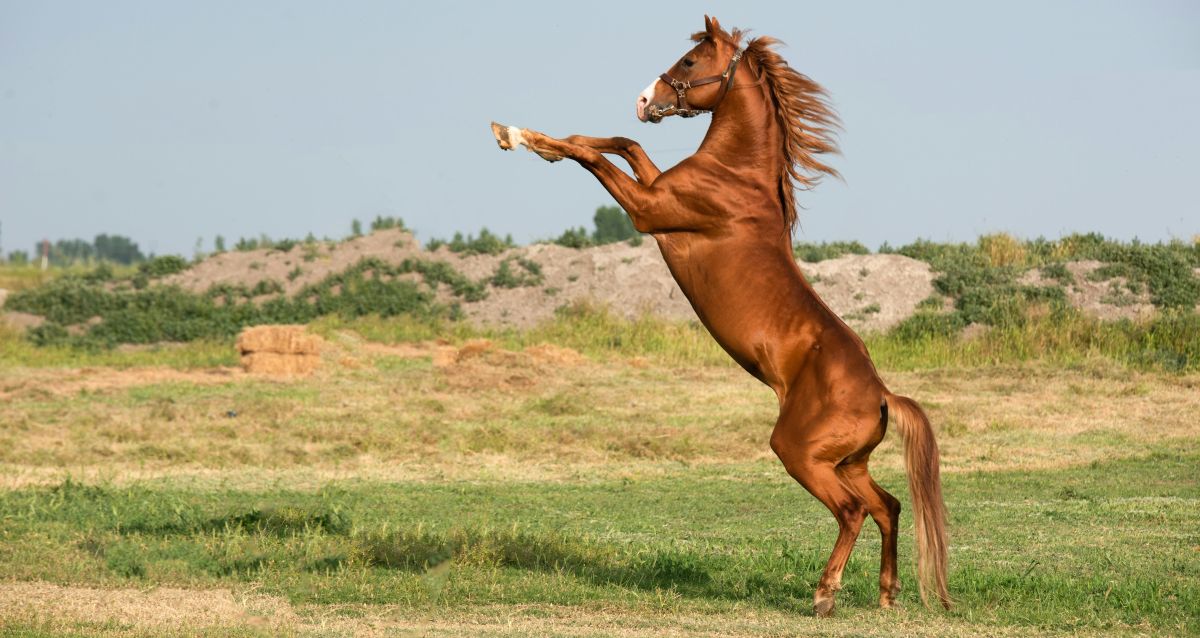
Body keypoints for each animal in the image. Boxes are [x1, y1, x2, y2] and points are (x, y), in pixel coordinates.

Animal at [490, 15, 949, 616]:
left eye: (689, 62)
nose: (645, 100)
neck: (736, 177)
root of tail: (882, 396)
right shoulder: (654, 189)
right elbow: (622, 142)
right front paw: (525, 135)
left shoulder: (648, 211)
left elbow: (600, 156)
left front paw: (519, 137)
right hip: (848, 463)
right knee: (888, 506)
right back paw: (887, 594)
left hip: (801, 455)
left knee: (852, 512)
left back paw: (824, 595)